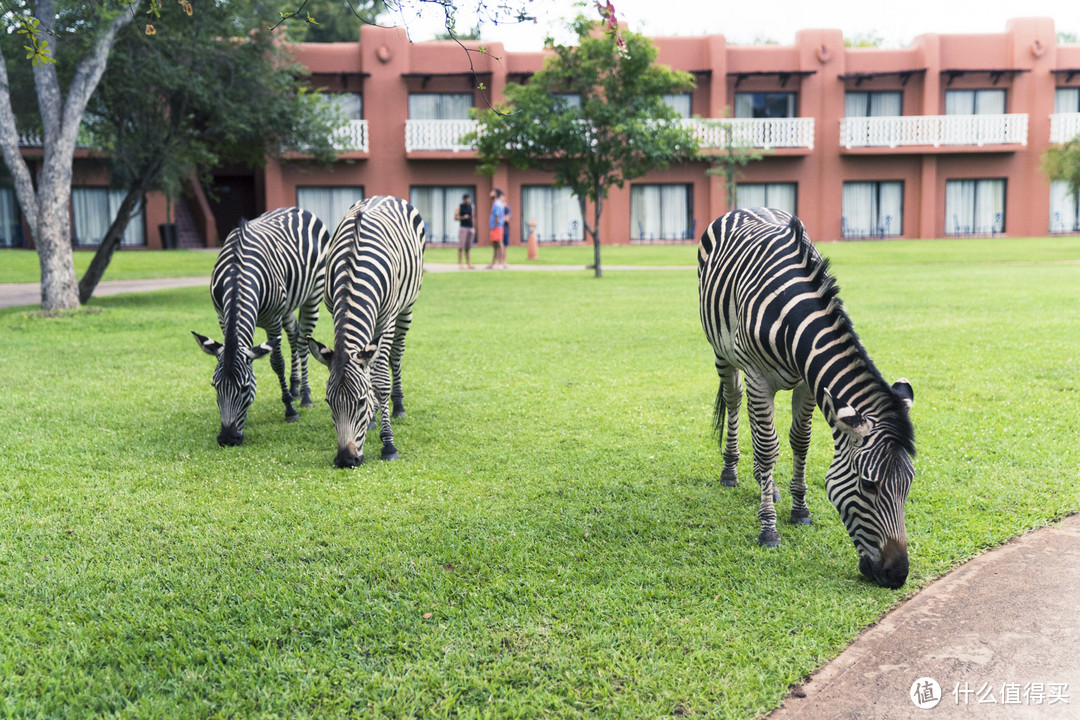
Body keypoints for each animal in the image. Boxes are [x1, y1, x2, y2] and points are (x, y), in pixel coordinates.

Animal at [190, 205, 326, 446]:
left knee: (303, 342)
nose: (228, 439)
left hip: (313, 295)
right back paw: (294, 388)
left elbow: (277, 363)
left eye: (244, 387)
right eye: (214, 386)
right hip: (288, 307)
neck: (238, 271)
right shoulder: (222, 317)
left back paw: (305, 395)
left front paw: (289, 409)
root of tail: (296, 208)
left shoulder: (273, 319)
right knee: (294, 335)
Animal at [308, 195, 425, 468]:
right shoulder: (334, 310)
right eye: (328, 402)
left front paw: (388, 444)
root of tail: (385, 196)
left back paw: (398, 405)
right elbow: (369, 375)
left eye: (360, 402)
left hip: (407, 308)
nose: (345, 460)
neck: (353, 272)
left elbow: (380, 381)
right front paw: (372, 417)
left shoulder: (387, 319)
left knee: (396, 356)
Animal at [695, 209, 915, 591]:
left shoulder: (809, 384)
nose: (898, 575)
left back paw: (765, 484)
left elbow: (800, 442)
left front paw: (799, 509)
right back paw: (731, 471)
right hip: (724, 354)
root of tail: (748, 208)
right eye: (868, 485)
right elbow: (769, 448)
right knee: (735, 401)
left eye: (908, 485)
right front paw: (768, 530)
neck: (793, 317)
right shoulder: (756, 374)